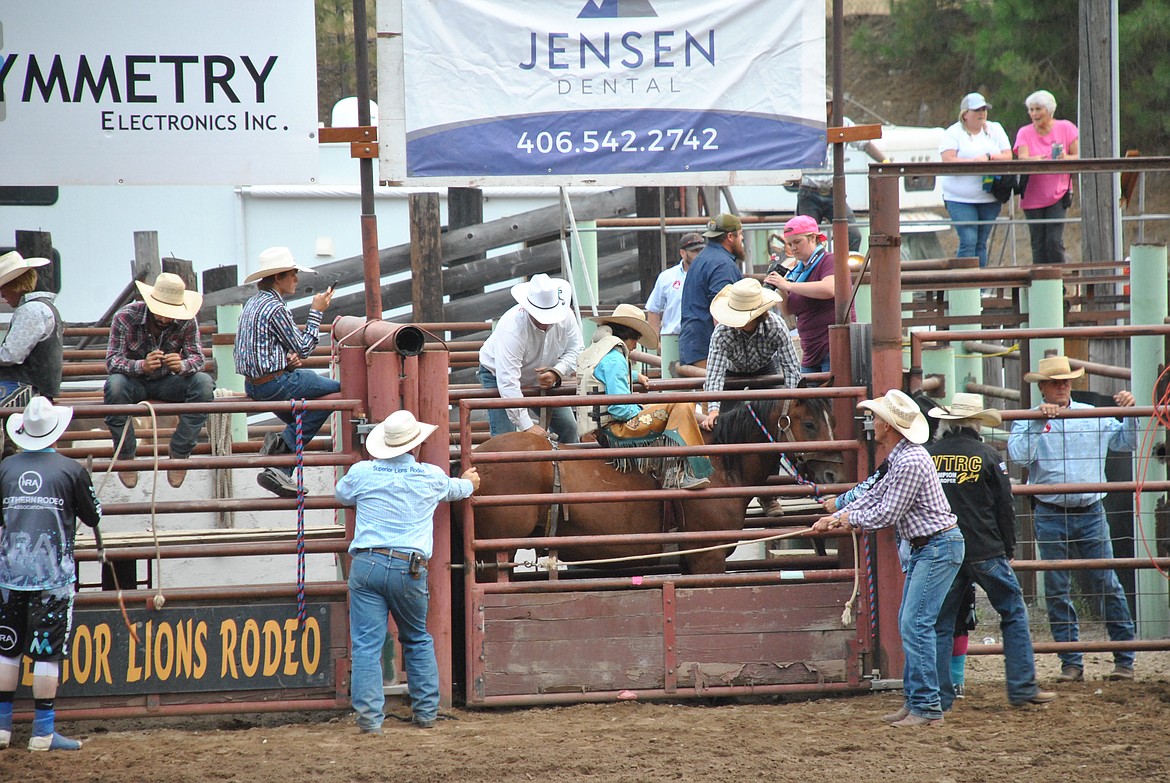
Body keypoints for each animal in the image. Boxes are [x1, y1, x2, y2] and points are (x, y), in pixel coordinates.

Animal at [470, 397, 847, 573]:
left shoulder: (689, 558)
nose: (835, 477)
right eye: (809, 424)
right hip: (490, 555)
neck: (721, 464)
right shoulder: (708, 557)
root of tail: (476, 462)